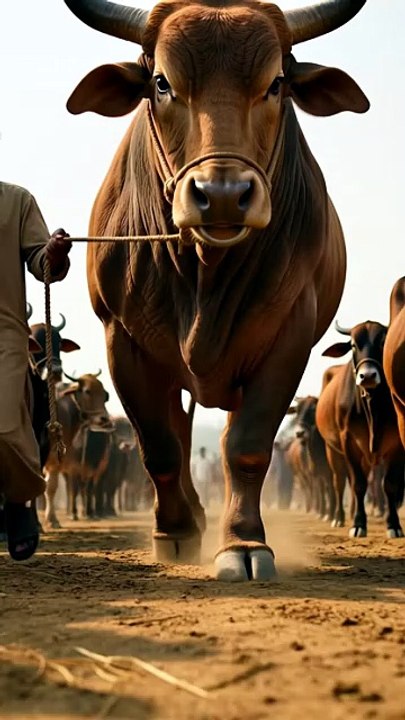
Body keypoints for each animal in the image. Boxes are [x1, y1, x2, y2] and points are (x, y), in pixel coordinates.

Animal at [64, 0, 370, 580]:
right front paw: (176, 533)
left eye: (276, 83)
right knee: (180, 436)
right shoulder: (122, 339)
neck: (204, 273)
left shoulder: (288, 337)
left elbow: (246, 445)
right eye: (162, 82)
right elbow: (160, 446)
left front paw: (244, 543)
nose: (223, 195)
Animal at [316, 321, 405, 538]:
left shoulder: (396, 445)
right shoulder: (348, 442)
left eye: (382, 342)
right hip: (333, 451)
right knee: (340, 483)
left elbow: (389, 485)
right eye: (353, 345)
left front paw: (393, 525)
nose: (368, 376)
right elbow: (358, 484)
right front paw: (358, 524)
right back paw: (339, 517)